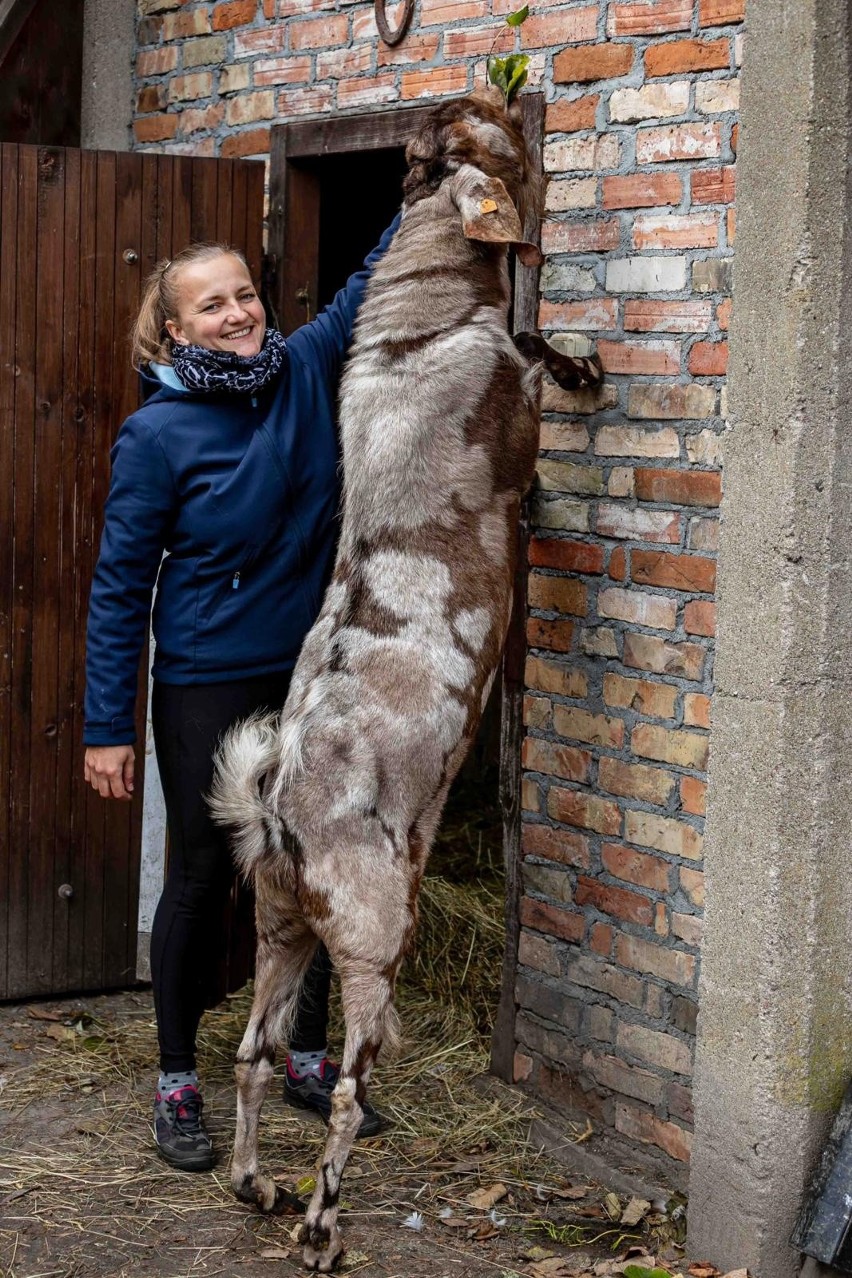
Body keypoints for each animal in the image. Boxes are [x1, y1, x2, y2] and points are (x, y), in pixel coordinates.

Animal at [209, 84, 602, 1272]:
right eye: (499, 141)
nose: (498, 86)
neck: (416, 324)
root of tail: (277, 812)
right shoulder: (513, 417)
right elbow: (535, 364)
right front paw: (584, 366)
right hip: (375, 933)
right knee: (342, 1089)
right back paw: (322, 1227)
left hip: (281, 925)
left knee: (252, 1052)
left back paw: (256, 1187)